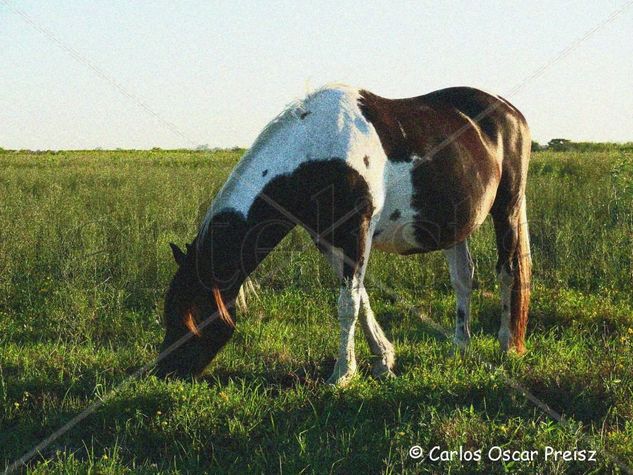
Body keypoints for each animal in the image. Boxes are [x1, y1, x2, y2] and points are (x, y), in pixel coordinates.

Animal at [156, 83, 532, 384]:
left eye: (188, 319)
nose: (164, 373)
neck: (314, 151)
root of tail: (512, 113)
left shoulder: (356, 232)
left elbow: (347, 302)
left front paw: (342, 375)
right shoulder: (328, 240)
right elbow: (360, 298)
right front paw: (382, 361)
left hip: (507, 208)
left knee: (507, 272)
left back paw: (506, 345)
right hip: (455, 224)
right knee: (463, 279)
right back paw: (460, 346)